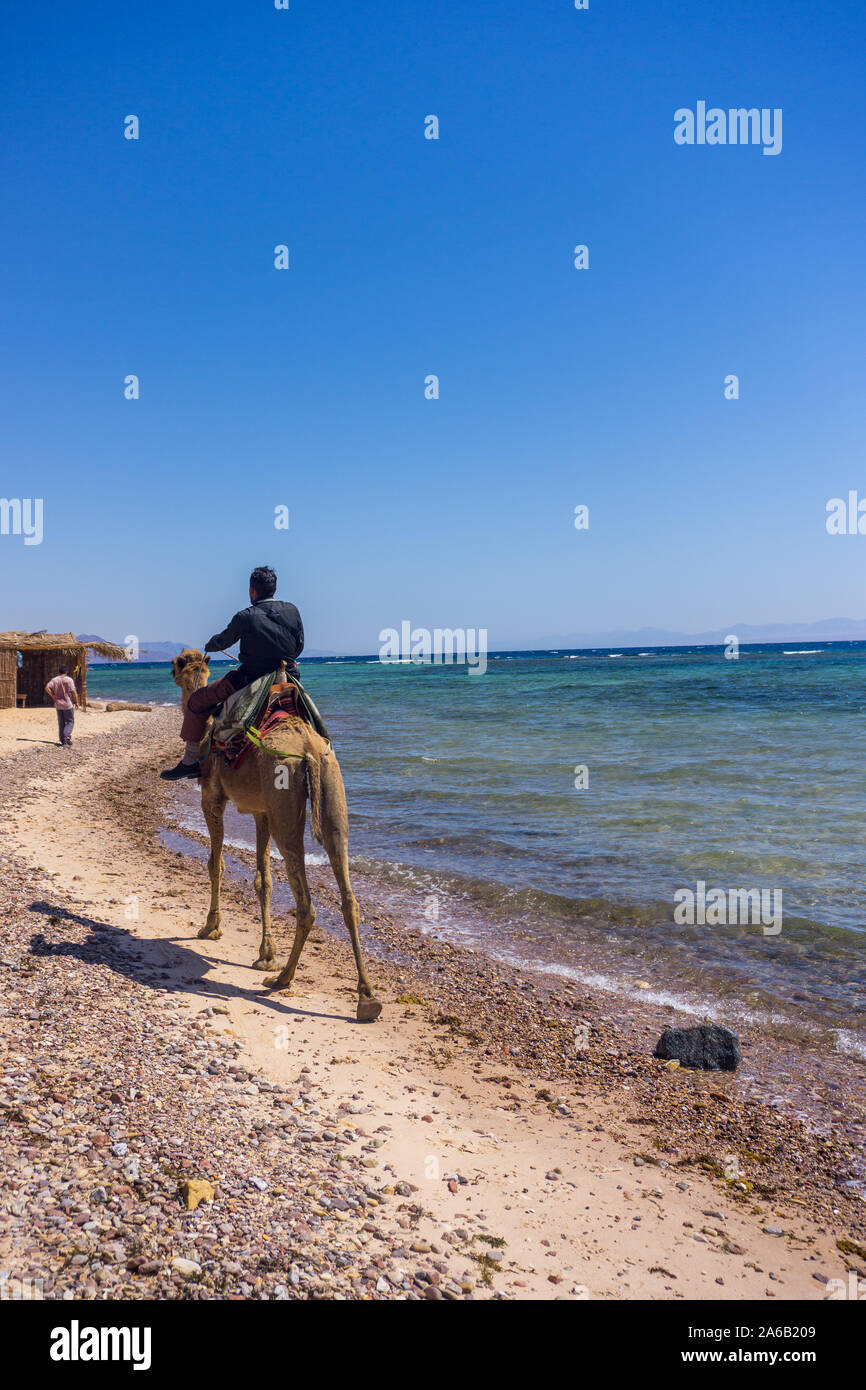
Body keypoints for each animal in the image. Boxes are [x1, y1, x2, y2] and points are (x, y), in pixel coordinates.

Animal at [173, 647, 383, 1023]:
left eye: (176, 665)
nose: (173, 671)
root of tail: (309, 749)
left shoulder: (212, 797)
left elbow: (216, 865)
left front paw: (211, 928)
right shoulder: (261, 811)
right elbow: (263, 880)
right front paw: (265, 953)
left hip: (284, 790)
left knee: (305, 900)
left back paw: (283, 978)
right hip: (330, 786)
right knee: (346, 885)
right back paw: (367, 998)